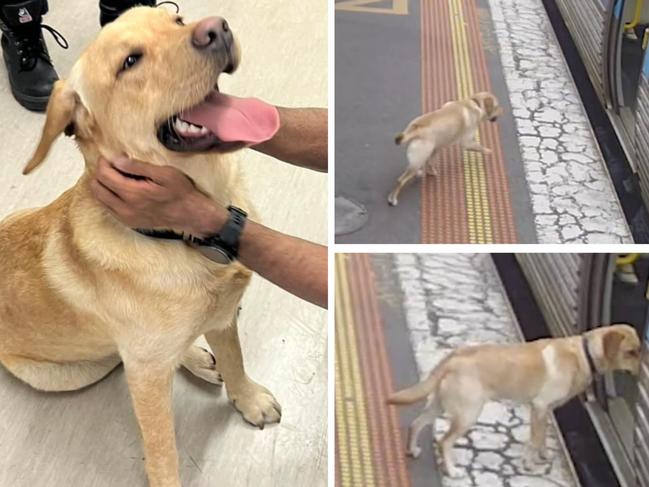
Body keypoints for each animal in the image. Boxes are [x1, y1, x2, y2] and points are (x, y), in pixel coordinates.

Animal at [0, 6, 284, 487]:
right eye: (130, 62)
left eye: (177, 21)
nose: (218, 28)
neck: (179, 236)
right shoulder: (147, 380)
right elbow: (163, 451)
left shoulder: (223, 315)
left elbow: (236, 359)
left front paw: (248, 400)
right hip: (70, 373)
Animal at [388, 326, 640, 478]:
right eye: (631, 352)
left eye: (639, 350)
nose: (641, 373)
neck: (585, 354)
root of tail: (453, 357)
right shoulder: (539, 407)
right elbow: (535, 440)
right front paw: (530, 465)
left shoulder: (545, 411)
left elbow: (540, 439)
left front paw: (543, 456)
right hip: (468, 414)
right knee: (444, 442)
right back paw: (451, 469)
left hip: (439, 405)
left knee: (417, 423)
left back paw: (412, 449)